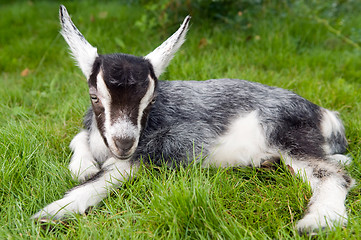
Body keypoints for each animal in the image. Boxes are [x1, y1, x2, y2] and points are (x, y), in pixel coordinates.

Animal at [32, 5, 352, 234]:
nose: (123, 142)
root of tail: (325, 114)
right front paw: (81, 167)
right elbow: (79, 141)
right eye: (94, 97)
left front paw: (53, 212)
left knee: (332, 173)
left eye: (151, 100)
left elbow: (113, 173)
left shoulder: (171, 144)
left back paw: (319, 222)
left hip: (287, 134)